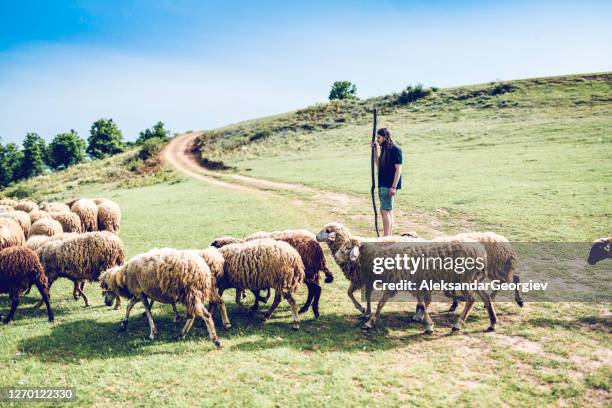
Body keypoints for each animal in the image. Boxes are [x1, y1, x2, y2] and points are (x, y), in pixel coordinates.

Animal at [100, 247, 230, 346]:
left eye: (106, 289)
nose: (107, 303)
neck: (125, 276)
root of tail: (204, 268)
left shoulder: (140, 294)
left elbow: (148, 312)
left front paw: (152, 333)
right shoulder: (140, 294)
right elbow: (130, 307)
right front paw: (124, 324)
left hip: (191, 293)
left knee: (204, 315)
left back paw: (215, 340)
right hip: (198, 292)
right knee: (213, 304)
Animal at [332, 237, 494, 334]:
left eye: (347, 248)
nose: (336, 257)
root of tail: (481, 251)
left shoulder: (409, 284)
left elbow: (422, 304)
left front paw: (429, 326)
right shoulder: (394, 284)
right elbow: (380, 304)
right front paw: (370, 323)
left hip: (464, 279)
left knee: (471, 300)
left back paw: (458, 324)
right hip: (473, 278)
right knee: (486, 297)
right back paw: (492, 323)